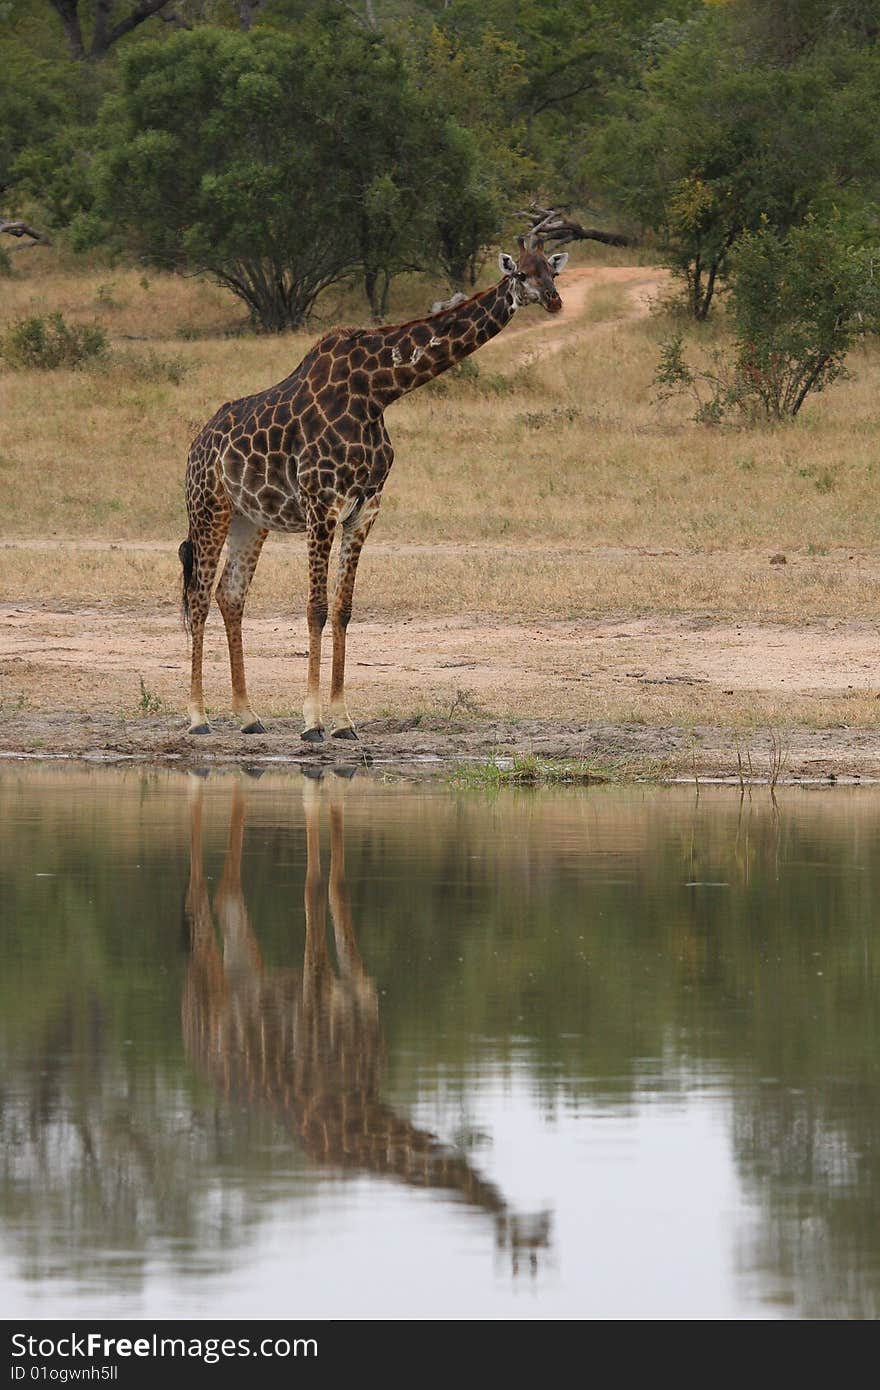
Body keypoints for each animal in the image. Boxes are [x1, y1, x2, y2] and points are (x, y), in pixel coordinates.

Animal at [177, 225, 569, 739]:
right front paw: (312, 722)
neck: (379, 391)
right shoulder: (321, 504)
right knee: (199, 596)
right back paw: (198, 717)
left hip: (250, 519)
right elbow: (316, 608)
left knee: (230, 594)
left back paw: (248, 716)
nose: (554, 301)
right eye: (521, 273)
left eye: (552, 271)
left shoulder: (365, 509)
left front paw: (343, 721)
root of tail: (195, 446)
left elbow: (343, 610)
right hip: (210, 507)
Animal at [182, 778, 553, 1273]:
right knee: (199, 895)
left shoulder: (361, 992)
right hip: (208, 977)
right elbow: (314, 886)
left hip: (246, 970)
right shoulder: (317, 995)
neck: (359, 1108)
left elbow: (338, 887)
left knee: (228, 893)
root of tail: (191, 1040)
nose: (545, 1219)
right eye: (525, 1252)